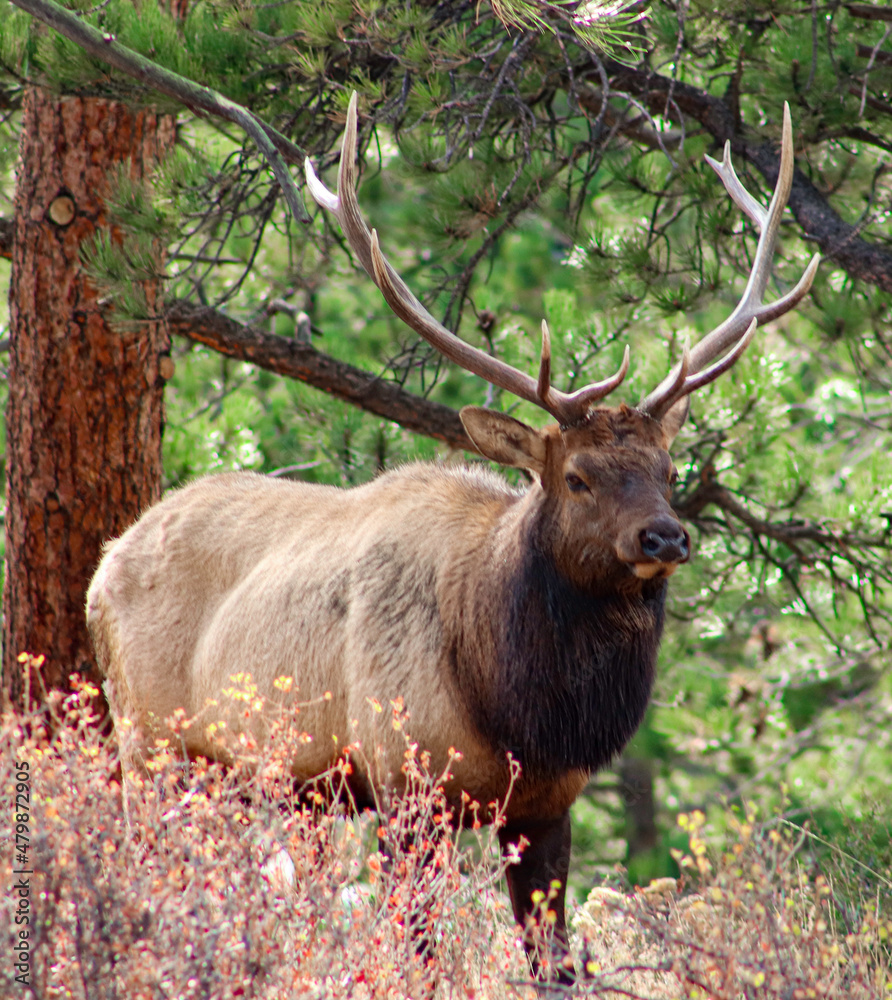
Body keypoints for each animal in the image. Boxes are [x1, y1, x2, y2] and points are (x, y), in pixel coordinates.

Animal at [86, 97, 819, 983]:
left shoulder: (546, 806)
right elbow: (420, 952)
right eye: (577, 477)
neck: (515, 702)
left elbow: (551, 962)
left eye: (669, 468)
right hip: (152, 743)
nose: (665, 536)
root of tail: (103, 566)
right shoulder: (407, 783)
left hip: (253, 784)